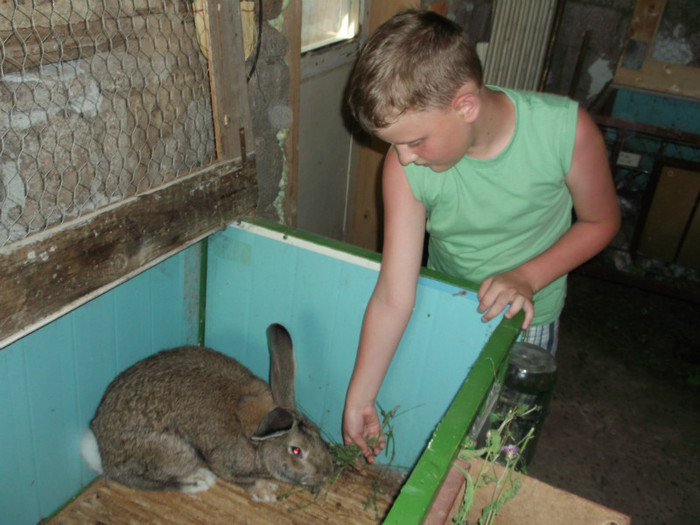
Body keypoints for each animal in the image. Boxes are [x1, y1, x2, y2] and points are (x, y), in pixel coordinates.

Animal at [82, 324, 334, 500]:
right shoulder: (225, 465)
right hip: (178, 452)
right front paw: (265, 492)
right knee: (150, 481)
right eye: (296, 451)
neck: (258, 443)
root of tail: (105, 454)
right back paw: (198, 481)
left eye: (318, 435)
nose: (326, 474)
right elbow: (241, 480)